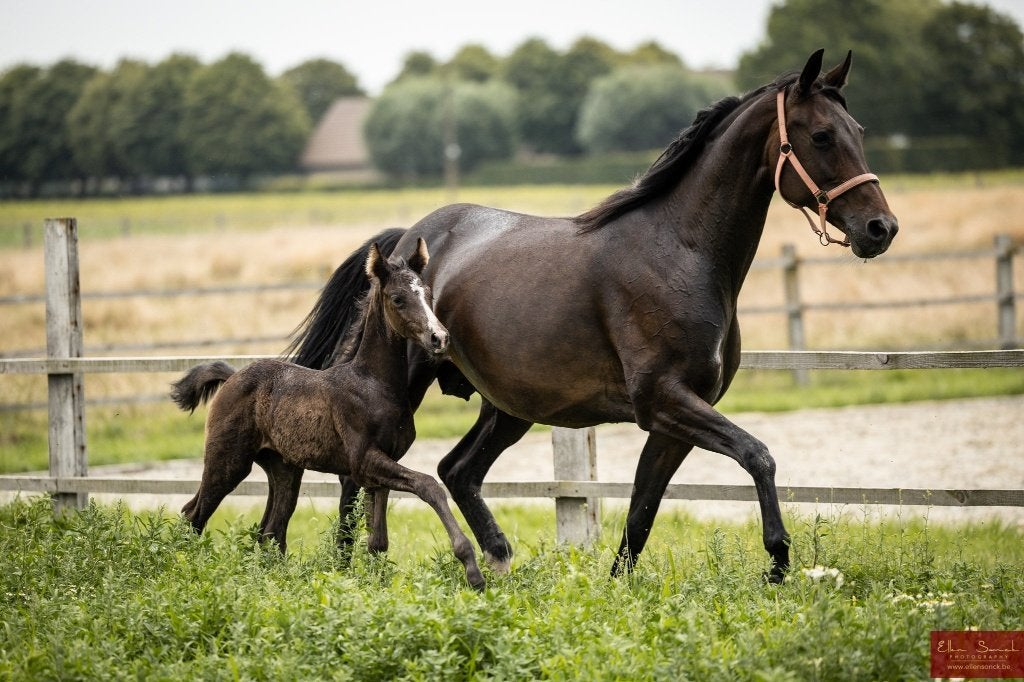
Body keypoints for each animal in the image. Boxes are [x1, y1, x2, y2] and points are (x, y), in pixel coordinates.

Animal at [172, 239, 485, 590]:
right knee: (193, 514)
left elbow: (378, 542)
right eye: (398, 299)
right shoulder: (364, 461)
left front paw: (375, 585)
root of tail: (232, 377)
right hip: (228, 459)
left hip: (284, 469)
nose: (439, 338)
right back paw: (187, 573)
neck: (374, 385)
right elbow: (428, 485)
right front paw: (471, 568)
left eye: (428, 295)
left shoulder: (379, 469)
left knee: (271, 531)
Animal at [287, 50, 899, 584]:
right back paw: (355, 568)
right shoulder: (666, 401)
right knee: (362, 474)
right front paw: (777, 562)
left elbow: (642, 511)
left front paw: (617, 586)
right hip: (408, 387)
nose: (880, 228)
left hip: (509, 407)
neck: (682, 252)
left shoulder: (673, 421)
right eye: (821, 136)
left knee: (457, 471)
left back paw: (498, 558)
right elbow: (759, 456)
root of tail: (407, 240)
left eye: (859, 130)